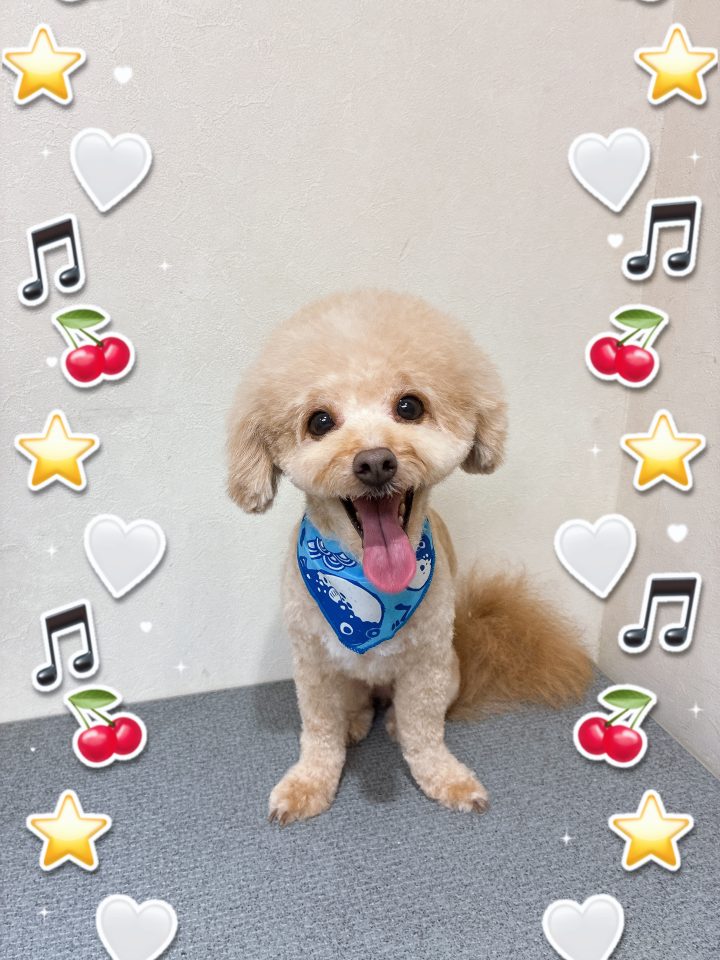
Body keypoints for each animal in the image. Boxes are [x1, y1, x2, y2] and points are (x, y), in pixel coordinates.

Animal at [227, 290, 590, 824]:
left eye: (409, 406)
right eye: (319, 421)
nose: (376, 461)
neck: (367, 579)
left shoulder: (428, 664)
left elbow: (424, 729)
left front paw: (444, 777)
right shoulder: (312, 665)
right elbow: (319, 732)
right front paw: (308, 783)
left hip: (451, 669)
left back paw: (392, 721)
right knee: (353, 707)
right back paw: (356, 721)